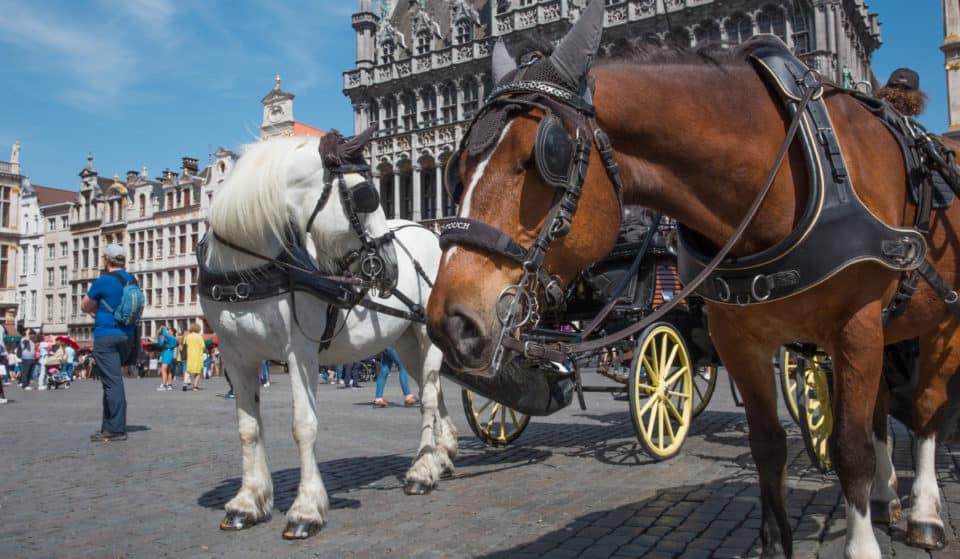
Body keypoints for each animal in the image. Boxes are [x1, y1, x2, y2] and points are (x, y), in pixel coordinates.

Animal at [200, 129, 458, 540]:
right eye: (365, 193)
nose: (391, 268)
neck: (247, 270)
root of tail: (429, 235)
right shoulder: (235, 355)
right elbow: (247, 429)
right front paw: (247, 503)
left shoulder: (300, 352)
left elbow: (303, 426)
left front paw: (305, 510)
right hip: (404, 342)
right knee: (431, 390)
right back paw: (441, 457)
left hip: (426, 334)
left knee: (429, 398)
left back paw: (421, 471)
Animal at [425, 1, 958, 557]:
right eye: (457, 169)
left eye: (544, 156)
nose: (449, 321)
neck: (780, 176)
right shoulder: (739, 335)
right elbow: (768, 445)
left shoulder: (854, 328)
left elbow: (847, 445)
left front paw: (862, 542)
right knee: (881, 412)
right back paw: (887, 497)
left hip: (937, 326)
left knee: (925, 409)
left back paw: (923, 513)